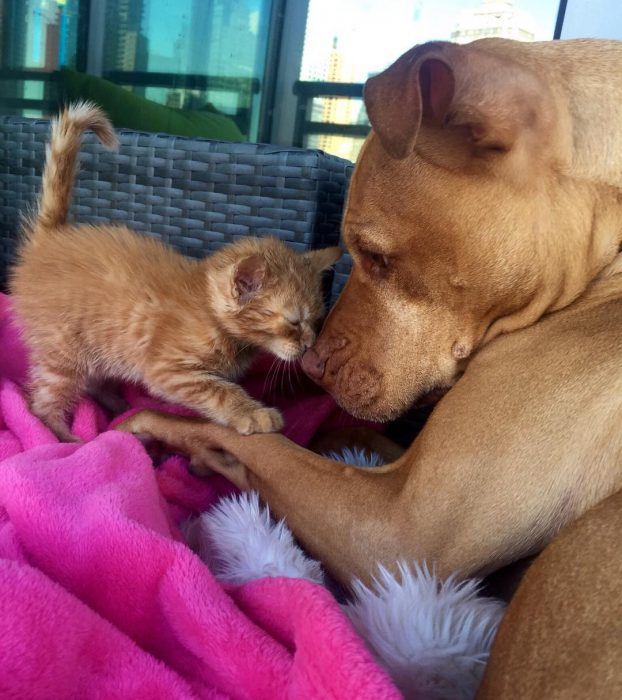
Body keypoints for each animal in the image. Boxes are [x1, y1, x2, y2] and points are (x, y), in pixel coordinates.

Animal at [9, 102, 342, 442]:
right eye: (293, 322)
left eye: (317, 320)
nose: (309, 346)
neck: (209, 311)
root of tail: (51, 237)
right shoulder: (169, 370)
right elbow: (220, 391)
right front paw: (254, 414)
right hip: (63, 351)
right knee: (43, 403)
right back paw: (66, 437)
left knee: (91, 379)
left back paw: (115, 403)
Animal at [117, 38, 622, 584]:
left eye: (375, 255)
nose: (312, 366)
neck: (607, 265)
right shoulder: (393, 474)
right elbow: (339, 434)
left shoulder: (397, 526)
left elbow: (252, 438)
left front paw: (151, 425)